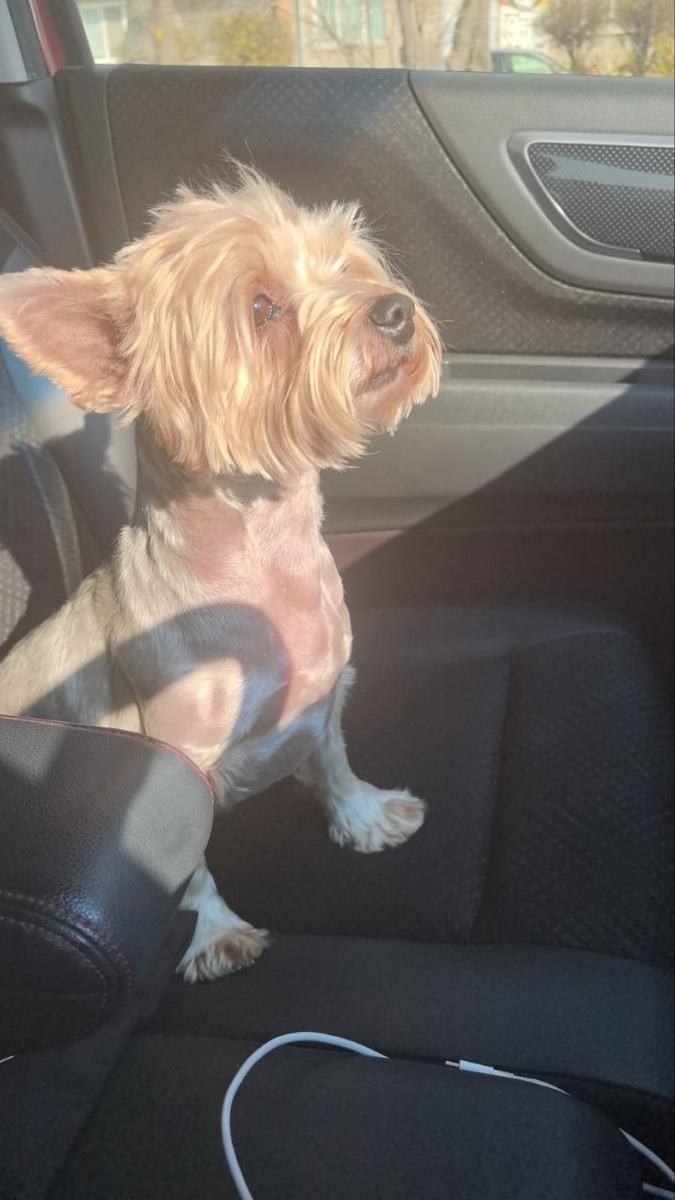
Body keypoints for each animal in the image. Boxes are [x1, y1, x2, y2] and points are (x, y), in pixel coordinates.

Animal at [0, 171, 442, 982]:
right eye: (261, 307)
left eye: (344, 264)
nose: (394, 309)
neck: (265, 559)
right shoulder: (178, 760)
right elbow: (186, 862)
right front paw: (214, 932)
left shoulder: (327, 690)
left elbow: (332, 754)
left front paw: (361, 813)